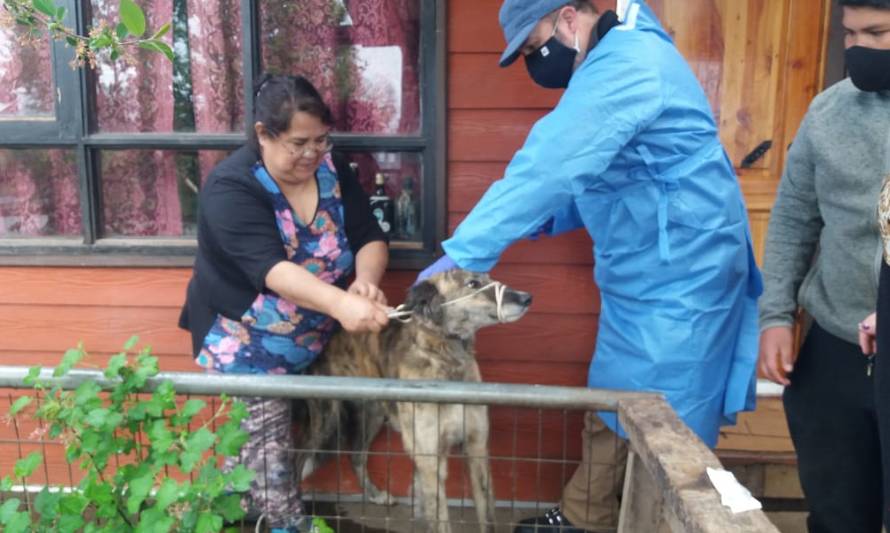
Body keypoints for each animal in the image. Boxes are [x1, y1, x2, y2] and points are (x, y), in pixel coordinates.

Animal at [298, 270, 532, 532]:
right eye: (472, 283)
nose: (527, 298)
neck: (445, 357)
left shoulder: (477, 447)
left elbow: (487, 516)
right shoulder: (429, 457)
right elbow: (441, 520)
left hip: (372, 414)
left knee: (356, 455)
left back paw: (375, 495)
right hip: (326, 422)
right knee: (296, 461)